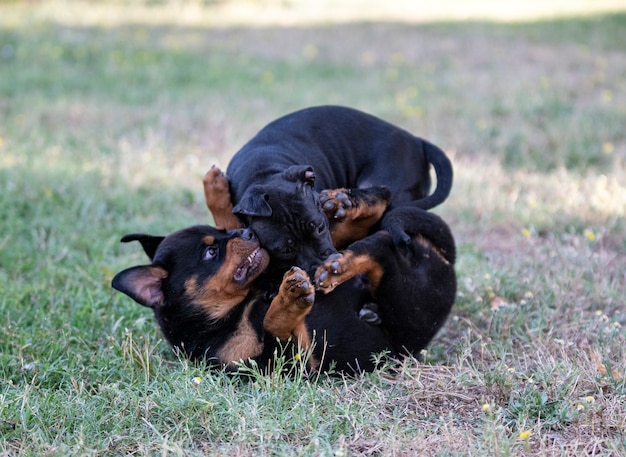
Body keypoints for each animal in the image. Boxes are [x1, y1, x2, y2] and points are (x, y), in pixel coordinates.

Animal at [111, 207, 454, 374]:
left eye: (222, 232)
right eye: (210, 252)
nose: (247, 231)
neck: (232, 315)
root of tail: (447, 258)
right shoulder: (290, 364)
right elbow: (274, 325)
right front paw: (290, 300)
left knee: (378, 241)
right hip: (410, 301)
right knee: (382, 248)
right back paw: (338, 268)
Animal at [207, 105, 450, 272]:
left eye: (319, 228)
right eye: (285, 250)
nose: (325, 263)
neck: (263, 171)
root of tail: (416, 141)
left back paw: (341, 200)